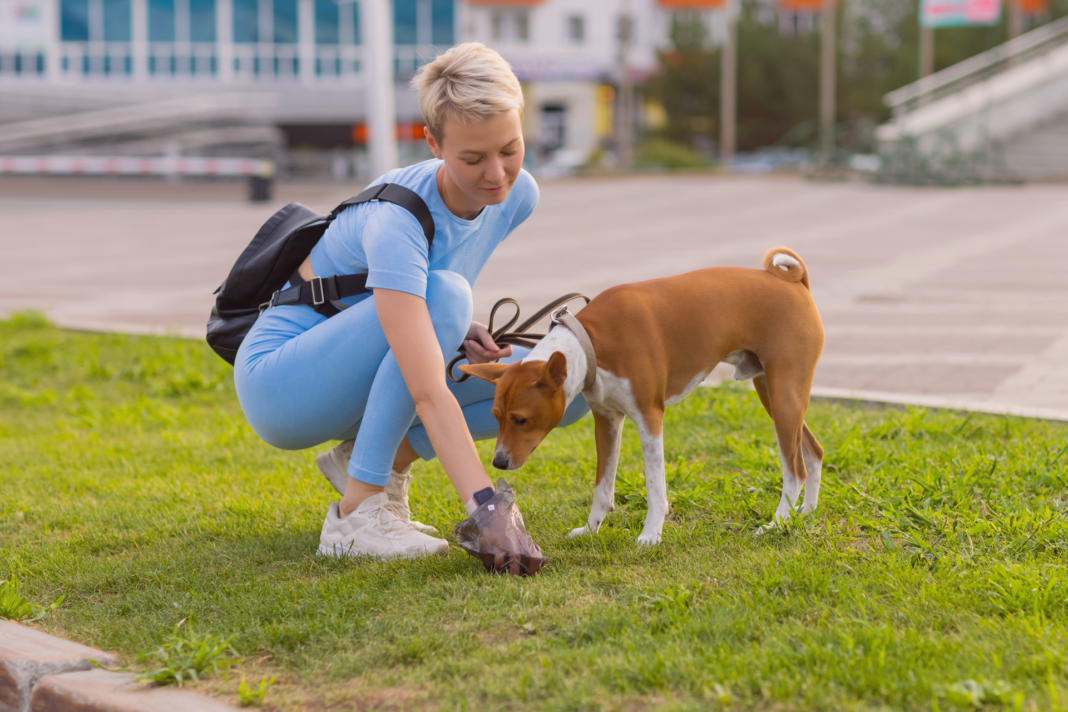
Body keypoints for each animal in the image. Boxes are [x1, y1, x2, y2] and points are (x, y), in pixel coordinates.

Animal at [461, 247, 824, 542]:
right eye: (495, 417)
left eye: (520, 420)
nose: (498, 461)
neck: (593, 342)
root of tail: (795, 282)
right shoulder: (607, 422)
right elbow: (602, 489)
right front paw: (590, 530)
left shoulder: (650, 419)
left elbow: (655, 489)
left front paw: (651, 534)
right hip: (775, 396)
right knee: (814, 451)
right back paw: (804, 514)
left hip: (784, 395)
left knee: (796, 470)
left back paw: (777, 523)